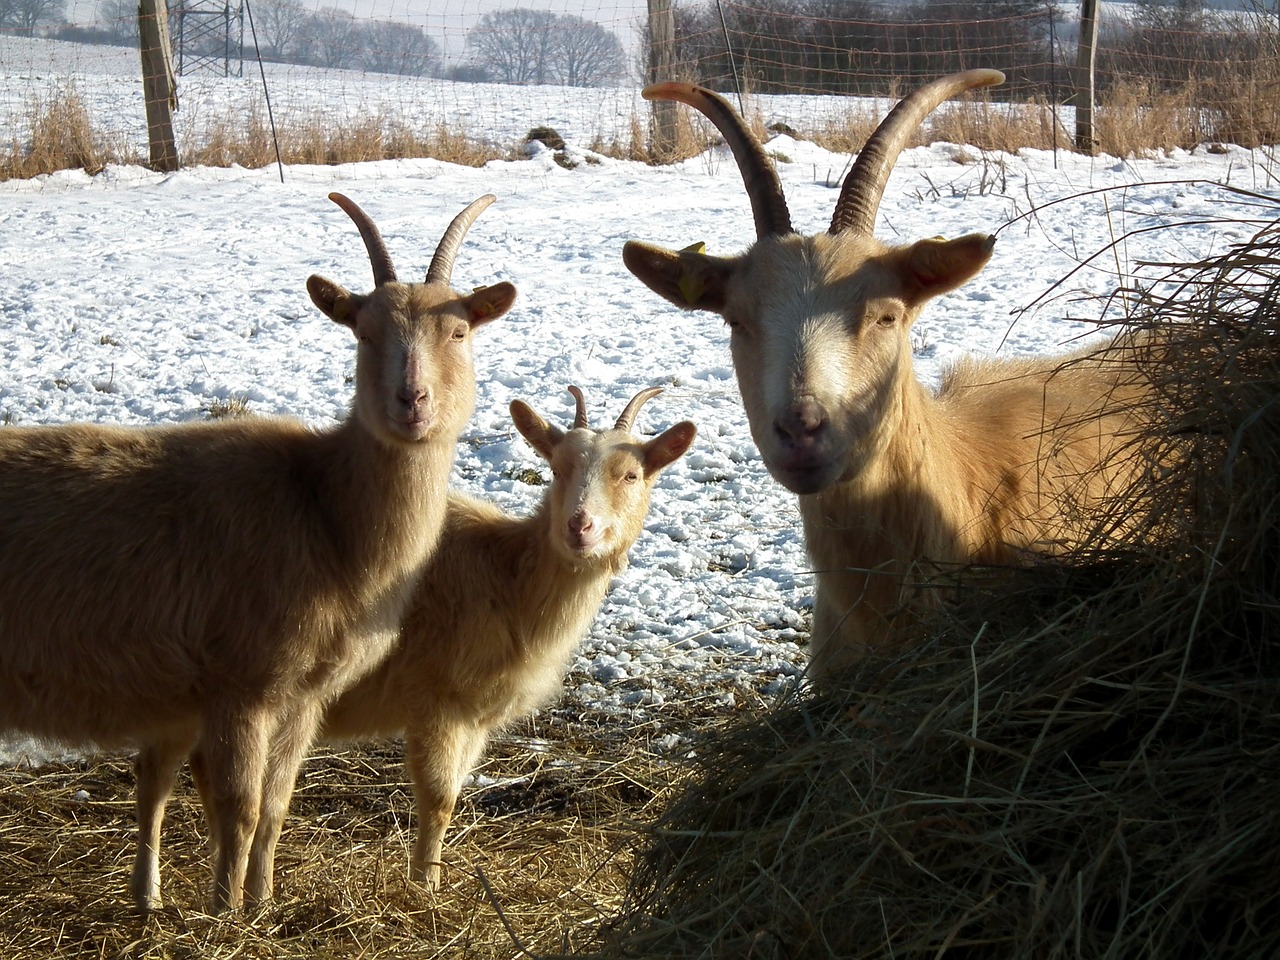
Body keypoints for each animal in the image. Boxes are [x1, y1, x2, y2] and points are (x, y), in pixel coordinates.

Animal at [6, 189, 514, 911]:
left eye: (460, 331)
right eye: (362, 331)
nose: (411, 401)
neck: (323, 508)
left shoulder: (301, 694)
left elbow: (275, 806)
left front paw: (265, 903)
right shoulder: (240, 680)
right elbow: (240, 805)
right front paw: (225, 911)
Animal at [167, 384, 691, 885]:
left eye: (631, 475)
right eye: (557, 468)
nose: (580, 526)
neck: (506, 576)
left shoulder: (477, 719)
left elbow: (455, 793)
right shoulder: (434, 698)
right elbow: (439, 800)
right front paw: (425, 888)